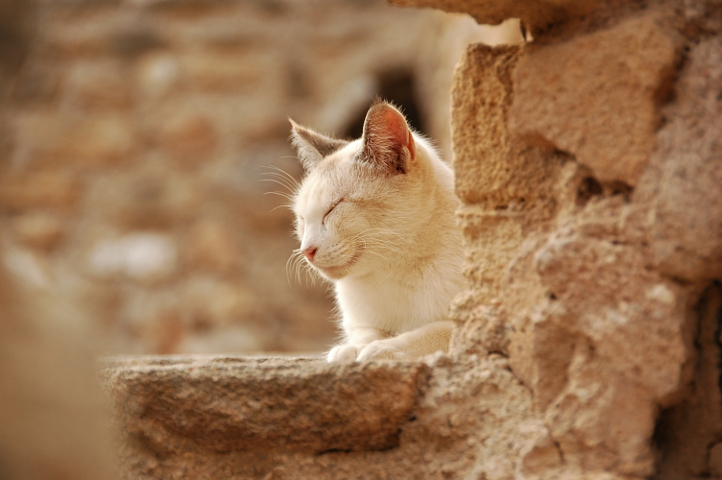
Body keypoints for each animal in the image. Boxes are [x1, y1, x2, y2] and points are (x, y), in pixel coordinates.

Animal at [288, 102, 464, 364]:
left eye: (332, 209)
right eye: (301, 219)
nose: (306, 250)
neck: (394, 272)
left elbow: (434, 332)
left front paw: (384, 349)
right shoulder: (361, 324)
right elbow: (367, 334)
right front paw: (350, 349)